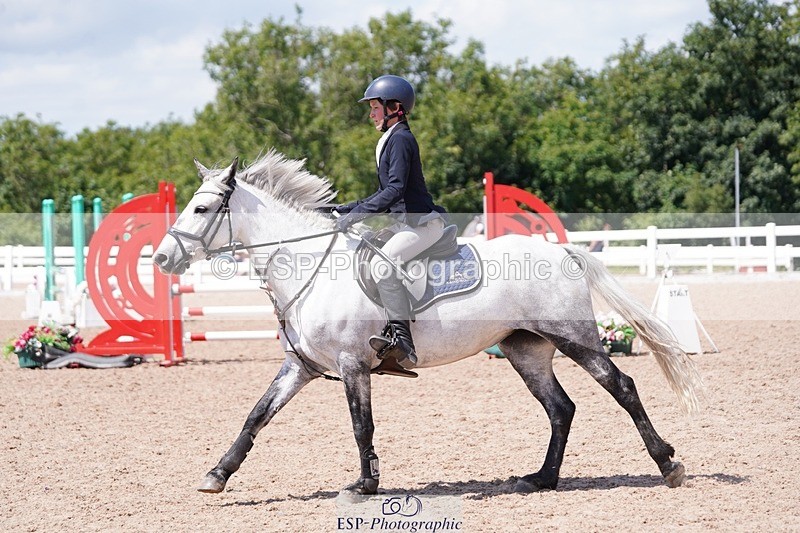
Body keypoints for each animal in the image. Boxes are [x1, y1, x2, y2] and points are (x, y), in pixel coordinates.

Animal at [153, 150, 702, 496]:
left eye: (202, 207)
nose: (161, 259)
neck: (312, 266)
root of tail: (560, 251)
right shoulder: (302, 366)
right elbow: (256, 415)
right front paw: (217, 474)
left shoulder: (353, 364)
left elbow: (361, 423)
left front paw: (365, 483)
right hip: (525, 349)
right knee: (560, 408)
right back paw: (540, 479)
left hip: (574, 338)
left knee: (621, 386)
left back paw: (668, 464)